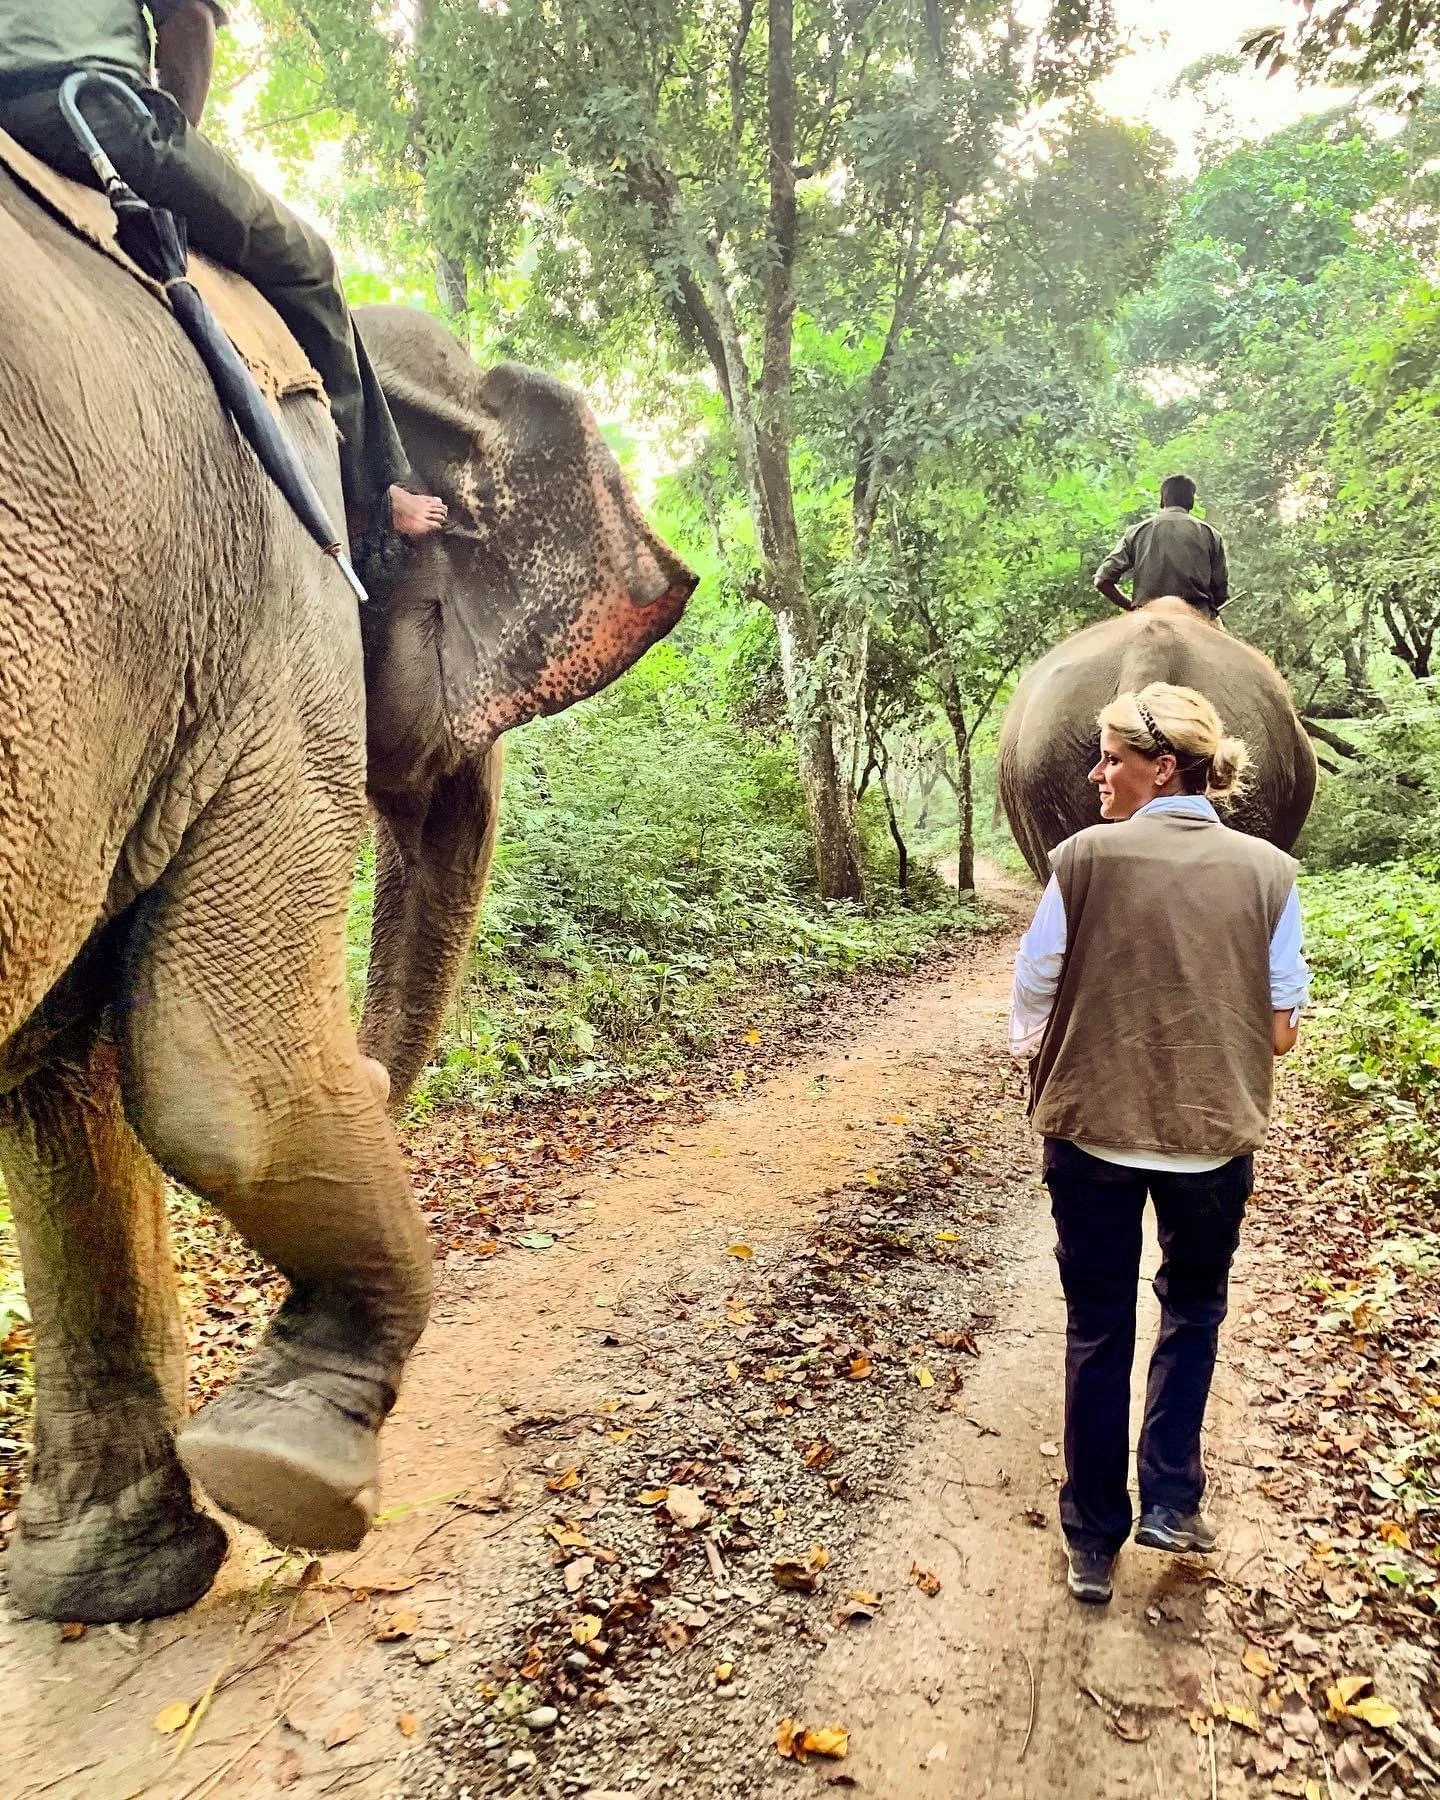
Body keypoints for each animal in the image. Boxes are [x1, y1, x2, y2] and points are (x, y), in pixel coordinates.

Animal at [0, 168, 696, 1625]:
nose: (376, 1076)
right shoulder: (275, 591)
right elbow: (227, 1073)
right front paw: (285, 1475)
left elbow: (61, 1084)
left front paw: (114, 1587)